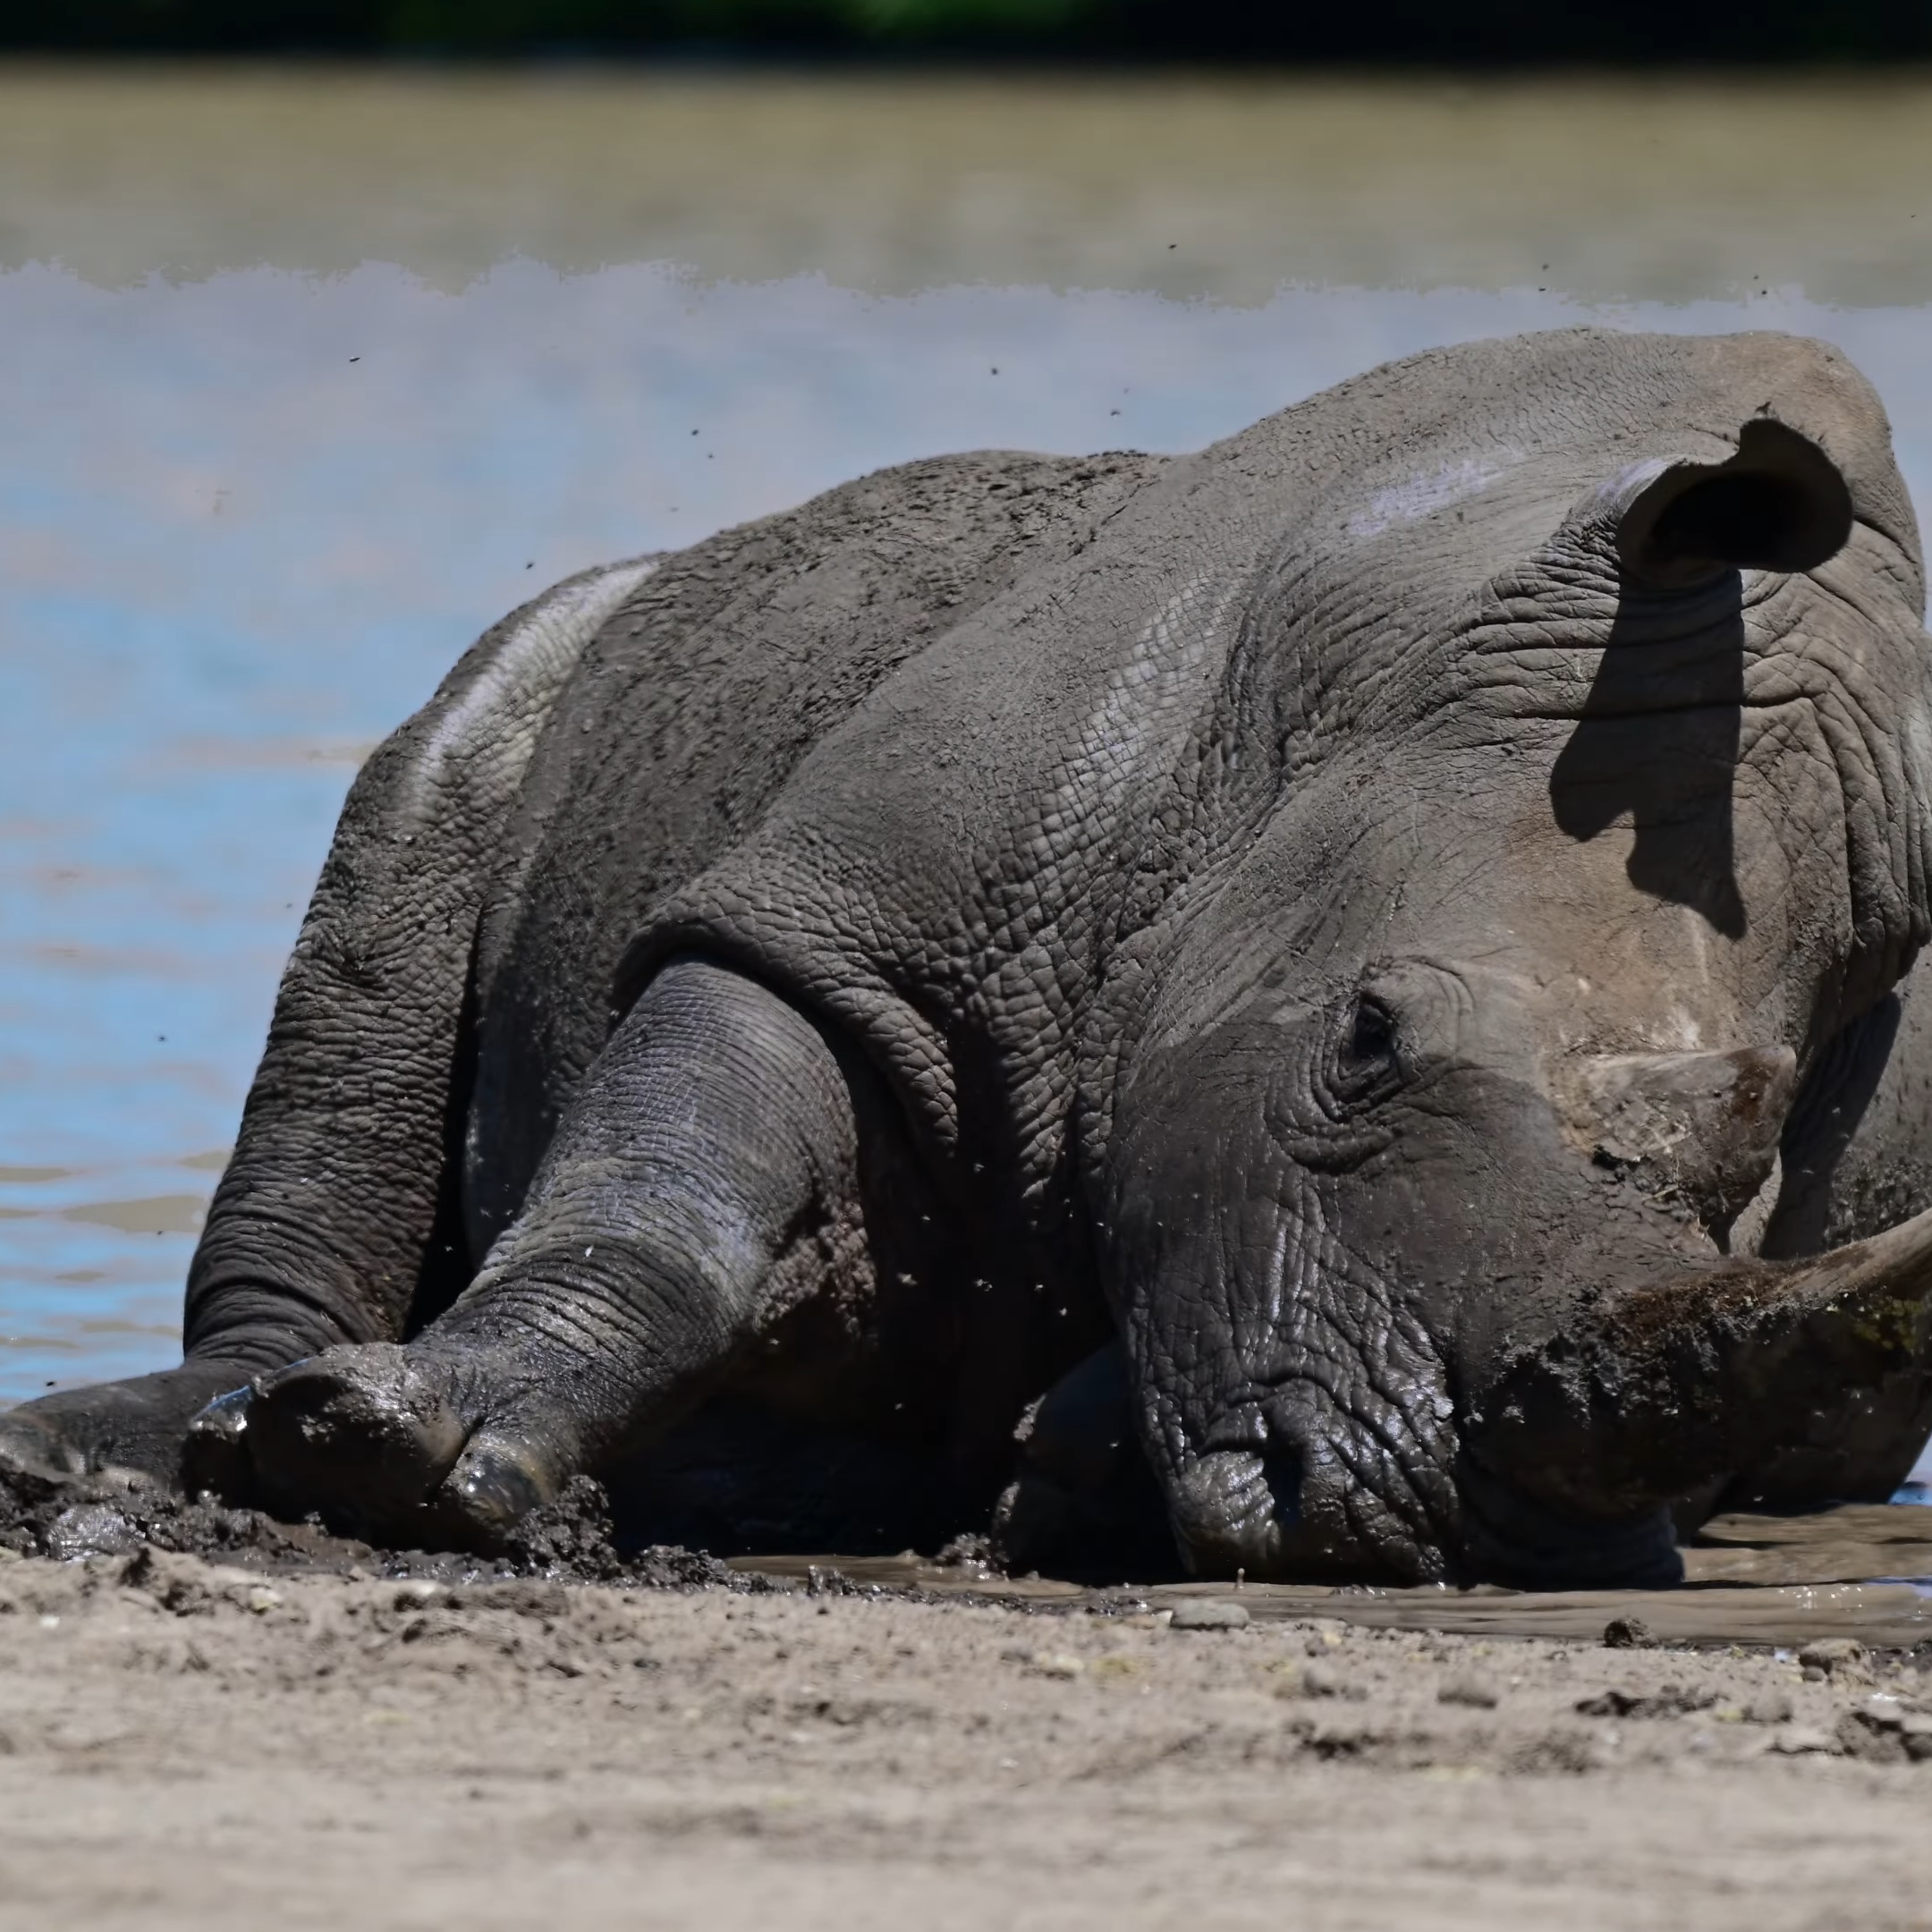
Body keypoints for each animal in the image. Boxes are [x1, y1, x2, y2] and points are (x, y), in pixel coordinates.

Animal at [4, 324, 1932, 1584]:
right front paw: (379, 1454)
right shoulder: (850, 922)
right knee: (411, 851)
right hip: (553, 658)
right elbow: (667, 1178)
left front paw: (1055, 1477)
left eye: (1751, 1166)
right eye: (1363, 1040)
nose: (1412, 1509)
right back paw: (157, 1433)